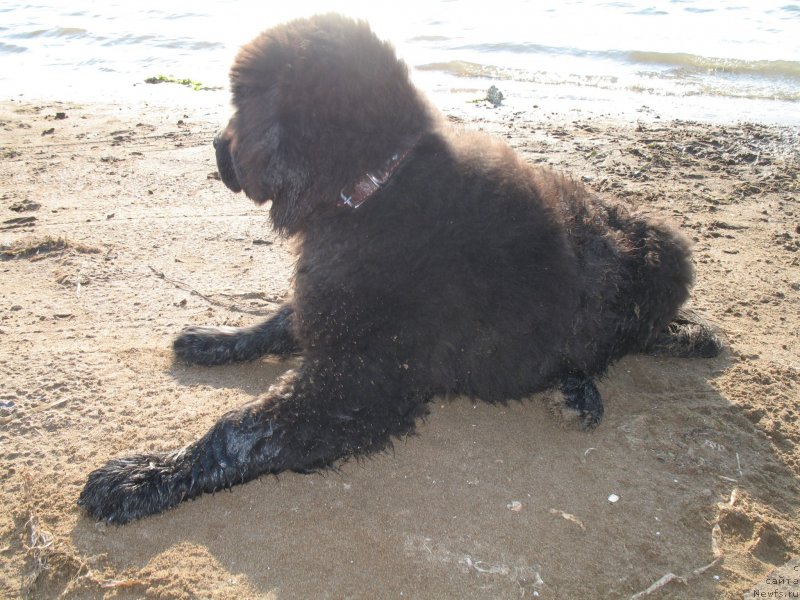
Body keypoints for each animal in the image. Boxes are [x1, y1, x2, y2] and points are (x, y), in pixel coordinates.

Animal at [79, 11, 720, 524]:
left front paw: (139, 477)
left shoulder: (361, 380)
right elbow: (278, 323)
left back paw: (589, 384)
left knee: (620, 342)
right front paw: (215, 339)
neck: (374, 188)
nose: (215, 147)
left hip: (663, 254)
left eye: (242, 105)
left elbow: (236, 432)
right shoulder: (330, 303)